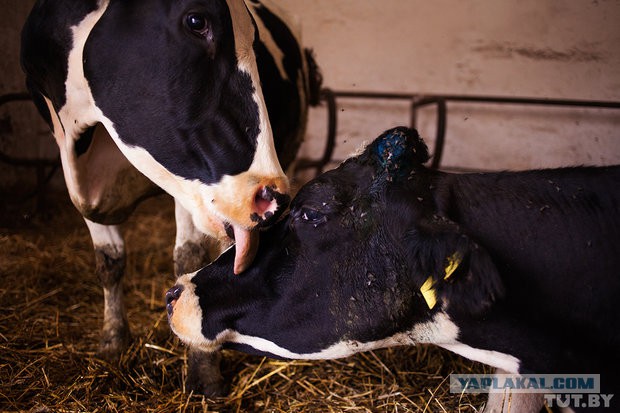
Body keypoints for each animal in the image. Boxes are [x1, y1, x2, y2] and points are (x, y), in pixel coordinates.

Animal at [20, 0, 320, 394]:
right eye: (197, 21)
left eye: (254, 39)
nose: (271, 197)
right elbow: (109, 260)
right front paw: (113, 341)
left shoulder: (190, 179)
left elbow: (188, 257)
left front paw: (203, 373)